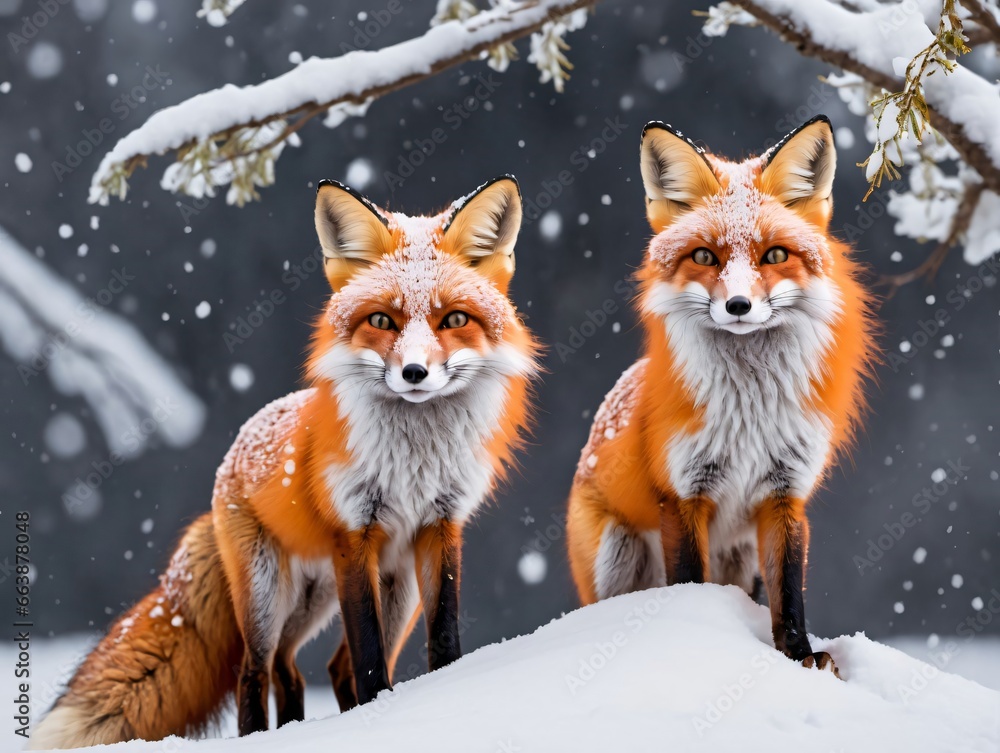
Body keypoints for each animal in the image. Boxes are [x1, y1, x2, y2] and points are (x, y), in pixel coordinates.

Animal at [31, 175, 539, 748]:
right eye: (381, 320)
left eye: (453, 319)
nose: (414, 373)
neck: (415, 460)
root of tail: (229, 462)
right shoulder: (354, 537)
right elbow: (368, 658)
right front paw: (379, 717)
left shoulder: (440, 528)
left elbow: (441, 640)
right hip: (268, 595)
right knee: (256, 672)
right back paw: (265, 734)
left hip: (372, 591)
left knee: (303, 669)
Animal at [566, 116, 876, 677]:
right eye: (705, 256)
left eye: (774, 255)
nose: (738, 305)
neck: (750, 411)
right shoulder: (684, 494)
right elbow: (691, 580)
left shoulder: (785, 495)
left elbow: (788, 595)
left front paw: (800, 657)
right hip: (616, 555)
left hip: (740, 555)